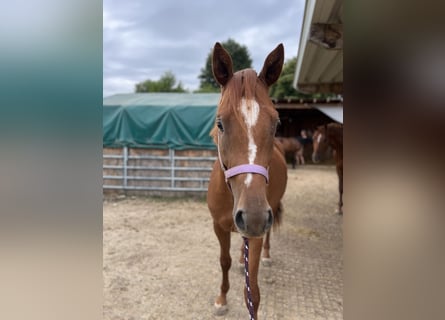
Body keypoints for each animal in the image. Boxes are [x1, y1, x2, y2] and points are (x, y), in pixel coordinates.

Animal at [206, 42, 286, 320]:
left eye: (276, 123)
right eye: (220, 123)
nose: (253, 217)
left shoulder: (257, 233)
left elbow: (253, 289)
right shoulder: (219, 227)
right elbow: (224, 261)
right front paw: (221, 299)